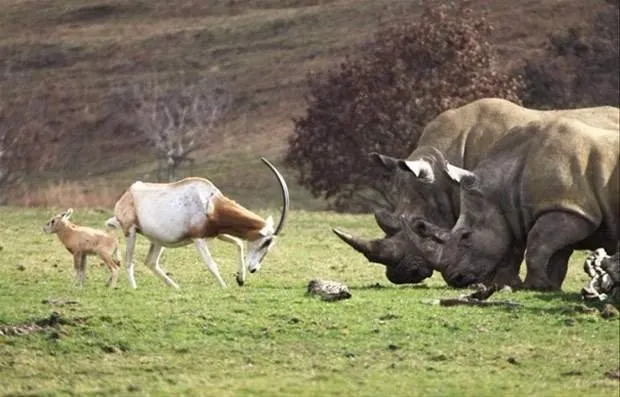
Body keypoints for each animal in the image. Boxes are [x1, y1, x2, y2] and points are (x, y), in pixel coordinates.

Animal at [105, 156, 290, 290]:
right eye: (266, 242)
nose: (254, 269)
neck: (210, 203)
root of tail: (127, 193)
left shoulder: (216, 233)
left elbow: (238, 243)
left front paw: (240, 279)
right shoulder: (198, 238)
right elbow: (211, 264)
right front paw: (225, 287)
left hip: (158, 240)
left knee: (151, 262)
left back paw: (176, 288)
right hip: (131, 232)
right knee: (129, 261)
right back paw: (134, 288)